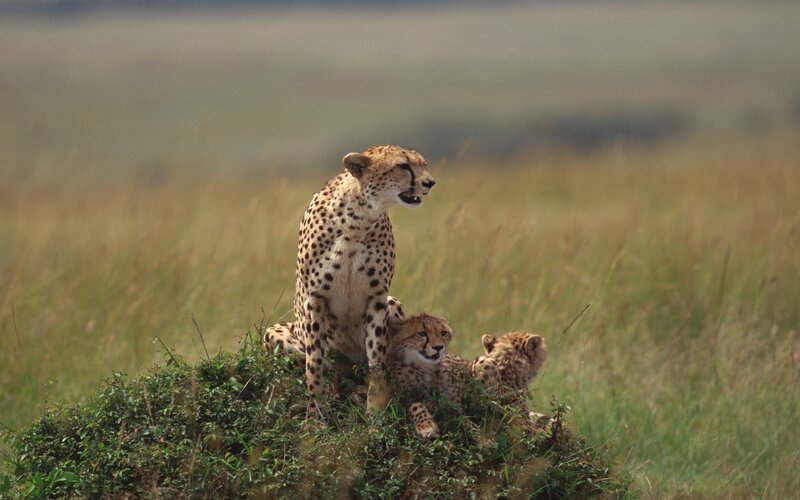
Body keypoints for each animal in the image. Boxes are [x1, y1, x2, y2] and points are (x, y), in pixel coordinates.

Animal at [276, 145, 436, 418]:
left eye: (423, 164)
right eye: (402, 166)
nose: (430, 182)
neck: (357, 220)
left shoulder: (377, 298)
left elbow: (377, 358)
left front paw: (375, 410)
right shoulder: (315, 299)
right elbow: (314, 364)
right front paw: (315, 415)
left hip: (394, 303)